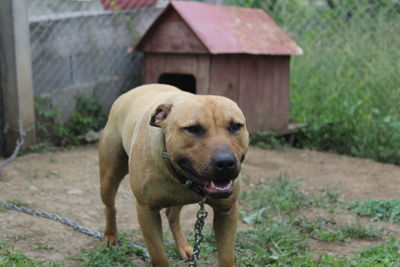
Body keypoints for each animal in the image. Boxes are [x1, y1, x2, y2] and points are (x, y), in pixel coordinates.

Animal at [99, 83, 248, 266]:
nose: (225, 163)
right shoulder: (147, 211)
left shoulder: (227, 211)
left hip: (179, 198)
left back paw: (183, 247)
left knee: (172, 216)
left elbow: (226, 257)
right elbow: (159, 257)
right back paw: (110, 235)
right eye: (193, 129)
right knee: (110, 207)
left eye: (236, 126)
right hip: (109, 178)